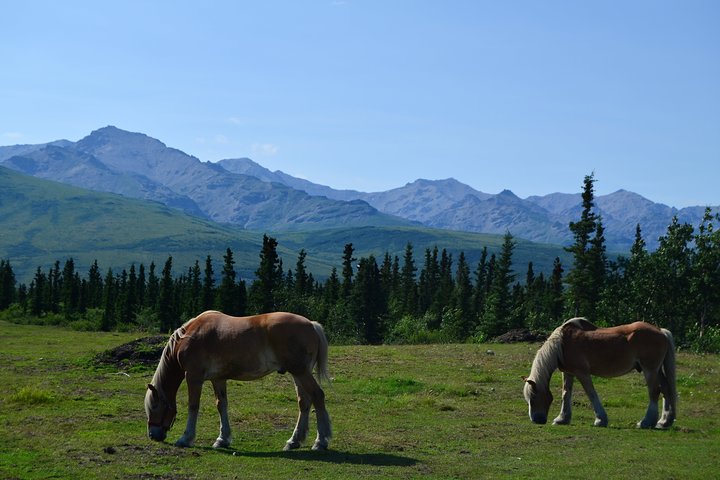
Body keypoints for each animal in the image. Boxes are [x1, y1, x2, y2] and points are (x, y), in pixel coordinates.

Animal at [144, 310, 332, 451]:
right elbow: (221, 405)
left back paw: (321, 441)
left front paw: (185, 438)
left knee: (318, 396)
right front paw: (222, 439)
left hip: (301, 372)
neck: (190, 335)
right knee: (304, 402)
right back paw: (294, 441)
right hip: (298, 374)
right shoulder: (218, 379)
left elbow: (193, 406)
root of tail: (312, 325)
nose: (153, 435)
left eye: (154, 407)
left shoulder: (193, 377)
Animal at [523, 317, 677, 429]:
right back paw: (664, 421)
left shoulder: (582, 373)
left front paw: (600, 420)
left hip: (650, 370)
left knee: (654, 391)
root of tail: (661, 331)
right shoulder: (568, 373)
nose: (537, 419)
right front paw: (562, 419)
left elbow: (591, 393)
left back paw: (646, 422)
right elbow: (566, 393)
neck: (562, 343)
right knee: (666, 390)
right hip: (657, 370)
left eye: (533, 397)